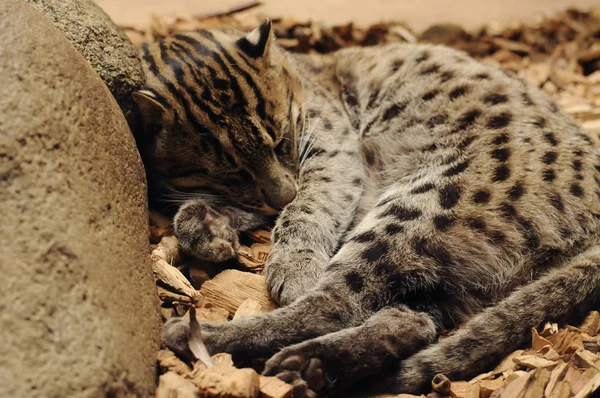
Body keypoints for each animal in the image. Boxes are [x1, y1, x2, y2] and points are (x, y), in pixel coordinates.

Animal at [136, 19, 600, 398]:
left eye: (282, 141)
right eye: (230, 172)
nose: (281, 191)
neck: (298, 74)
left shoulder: (332, 149)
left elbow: (307, 205)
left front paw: (292, 263)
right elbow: (243, 207)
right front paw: (206, 228)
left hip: (423, 205)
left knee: (333, 305)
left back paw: (199, 336)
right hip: (445, 265)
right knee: (411, 321)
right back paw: (314, 365)